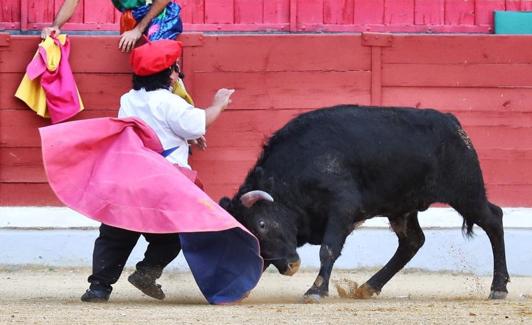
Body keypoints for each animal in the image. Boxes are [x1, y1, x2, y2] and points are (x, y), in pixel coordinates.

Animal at [218, 105, 510, 300]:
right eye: (251, 231)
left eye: (262, 224)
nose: (290, 268)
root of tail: (452, 122)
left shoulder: (342, 206)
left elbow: (328, 248)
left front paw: (316, 290)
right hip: (402, 207)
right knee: (412, 242)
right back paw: (368, 287)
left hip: (466, 192)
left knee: (494, 220)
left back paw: (498, 288)